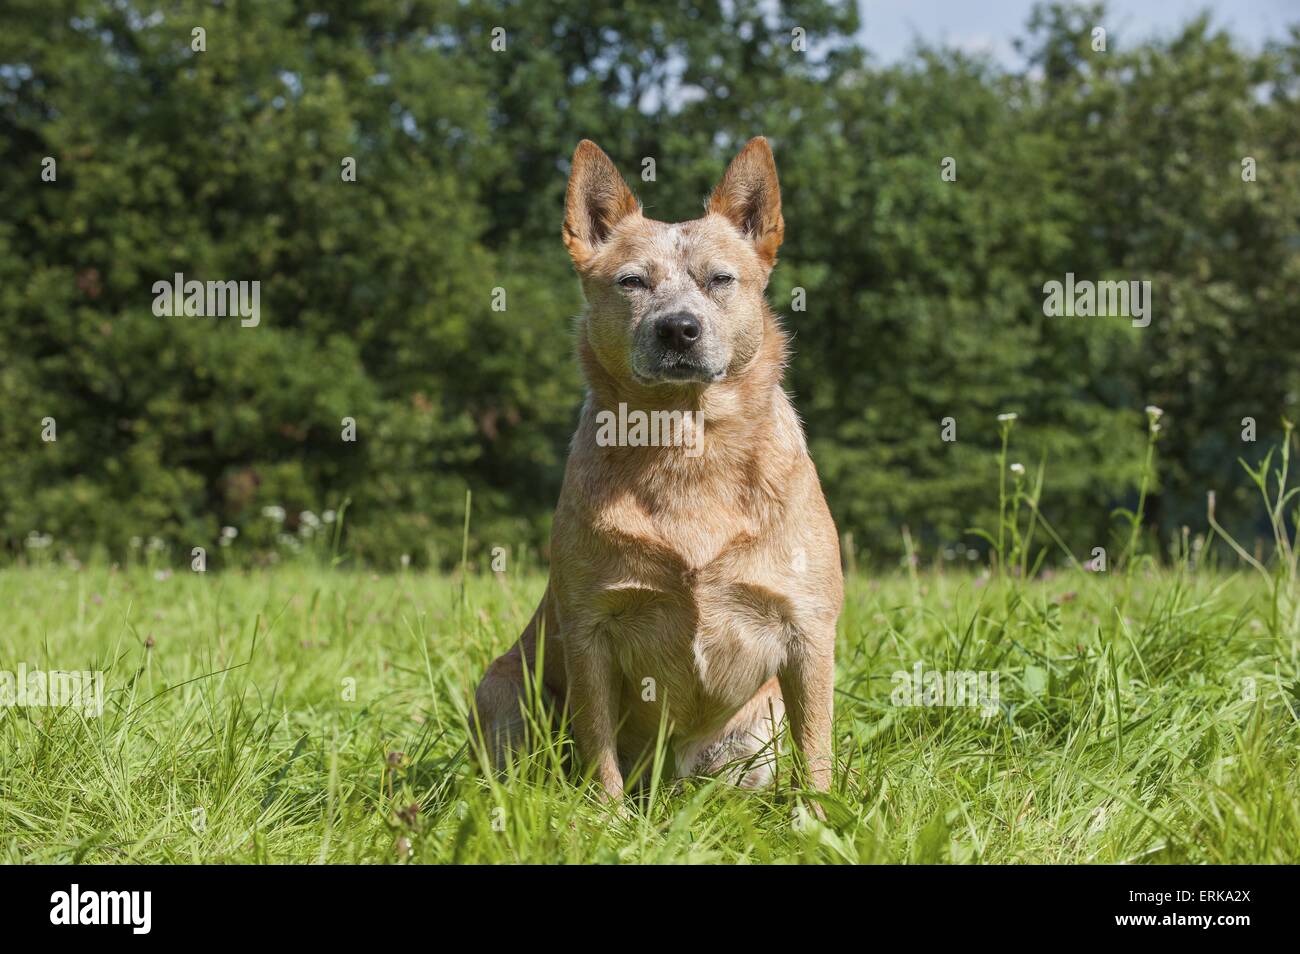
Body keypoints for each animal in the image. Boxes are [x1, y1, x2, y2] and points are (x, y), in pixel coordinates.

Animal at [473, 138, 847, 805]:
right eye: (631, 281)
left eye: (720, 279)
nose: (678, 327)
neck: (685, 448)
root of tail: (669, 781)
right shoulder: (589, 631)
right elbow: (598, 745)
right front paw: (608, 818)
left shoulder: (808, 630)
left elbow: (817, 747)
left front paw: (818, 817)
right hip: (501, 686)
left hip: (760, 724)